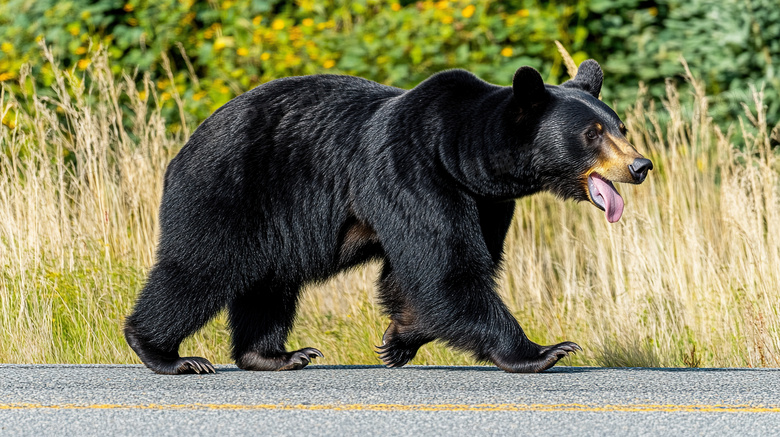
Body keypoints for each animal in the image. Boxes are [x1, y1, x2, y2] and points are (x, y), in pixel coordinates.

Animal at [126, 58, 652, 372]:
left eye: (620, 127)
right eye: (592, 133)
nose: (640, 165)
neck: (461, 155)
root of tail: (185, 147)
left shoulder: (487, 202)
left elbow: (429, 267)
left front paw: (398, 338)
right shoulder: (413, 172)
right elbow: (445, 268)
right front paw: (544, 350)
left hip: (273, 225)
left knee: (270, 284)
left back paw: (277, 354)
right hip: (229, 191)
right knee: (200, 268)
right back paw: (166, 353)